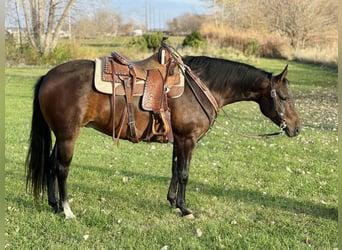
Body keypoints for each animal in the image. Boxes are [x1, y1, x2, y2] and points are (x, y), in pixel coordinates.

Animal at [25, 53, 300, 219]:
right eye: (284, 97)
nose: (296, 128)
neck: (201, 87)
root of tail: (48, 76)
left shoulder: (179, 139)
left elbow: (175, 170)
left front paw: (172, 201)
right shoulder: (188, 139)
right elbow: (185, 173)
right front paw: (185, 208)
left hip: (60, 136)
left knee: (51, 164)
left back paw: (54, 204)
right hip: (68, 136)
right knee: (62, 168)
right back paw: (67, 209)